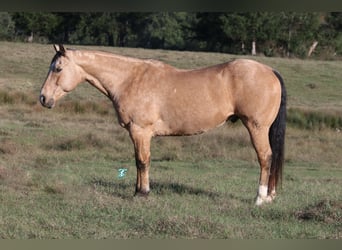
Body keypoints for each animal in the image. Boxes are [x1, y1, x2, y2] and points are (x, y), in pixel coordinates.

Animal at [39, 45, 286, 205]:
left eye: (58, 68)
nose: (43, 98)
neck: (129, 79)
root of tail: (270, 71)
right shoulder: (136, 133)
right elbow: (138, 161)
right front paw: (137, 191)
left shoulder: (140, 131)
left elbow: (142, 161)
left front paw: (143, 193)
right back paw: (270, 196)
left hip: (256, 127)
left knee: (265, 158)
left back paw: (260, 198)